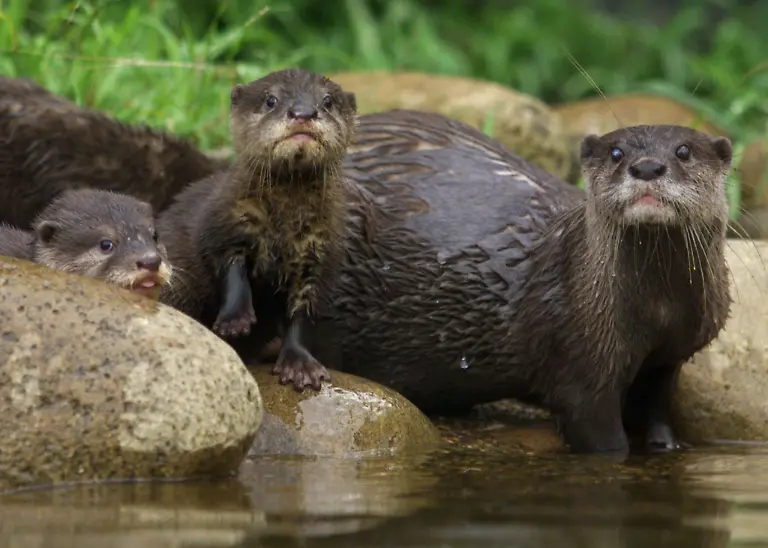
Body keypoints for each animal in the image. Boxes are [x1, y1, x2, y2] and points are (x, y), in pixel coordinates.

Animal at [158, 68, 357, 391]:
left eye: (328, 101)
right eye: (270, 100)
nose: (303, 113)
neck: (284, 227)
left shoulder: (321, 253)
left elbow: (304, 312)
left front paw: (300, 364)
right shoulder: (225, 222)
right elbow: (230, 269)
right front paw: (235, 320)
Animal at [311, 111, 732, 454]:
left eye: (683, 151)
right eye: (616, 153)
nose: (647, 167)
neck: (658, 310)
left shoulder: (672, 354)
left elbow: (658, 407)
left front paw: (667, 444)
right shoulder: (580, 355)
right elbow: (597, 430)